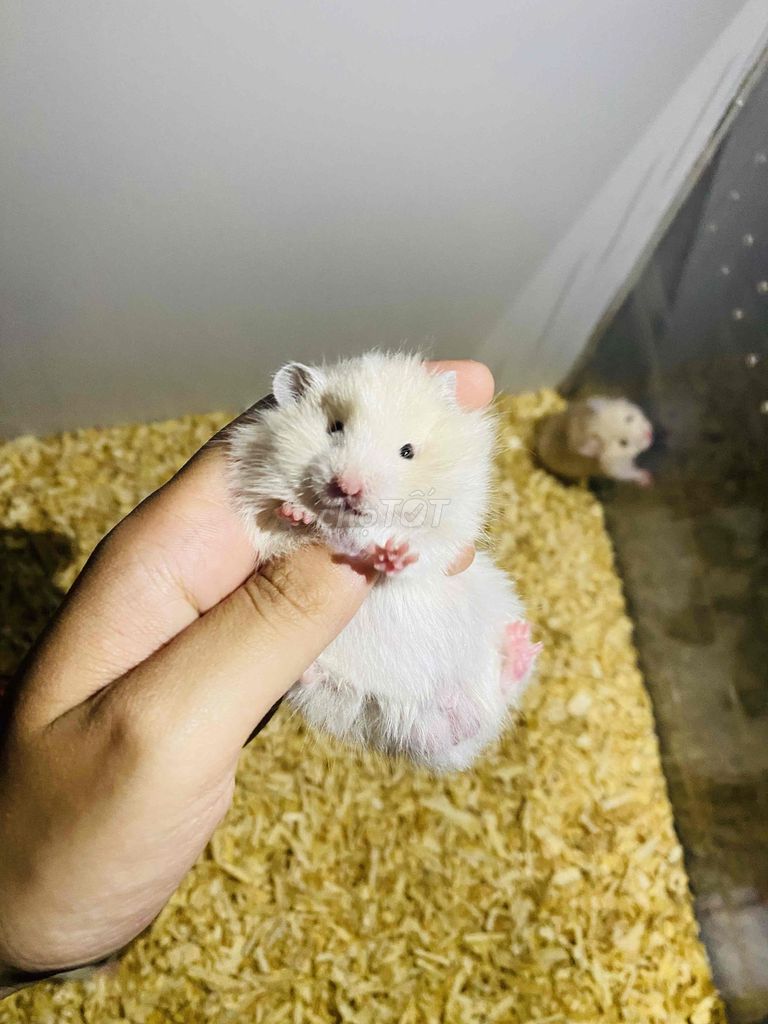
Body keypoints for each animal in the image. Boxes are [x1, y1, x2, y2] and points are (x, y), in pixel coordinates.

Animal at [227, 352, 541, 772]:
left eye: (407, 451)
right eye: (334, 428)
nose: (348, 488)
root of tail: (455, 724)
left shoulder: (449, 530)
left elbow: (420, 553)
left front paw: (391, 555)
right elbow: (287, 524)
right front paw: (299, 514)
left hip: (493, 616)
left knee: (504, 686)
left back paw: (519, 644)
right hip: (352, 702)